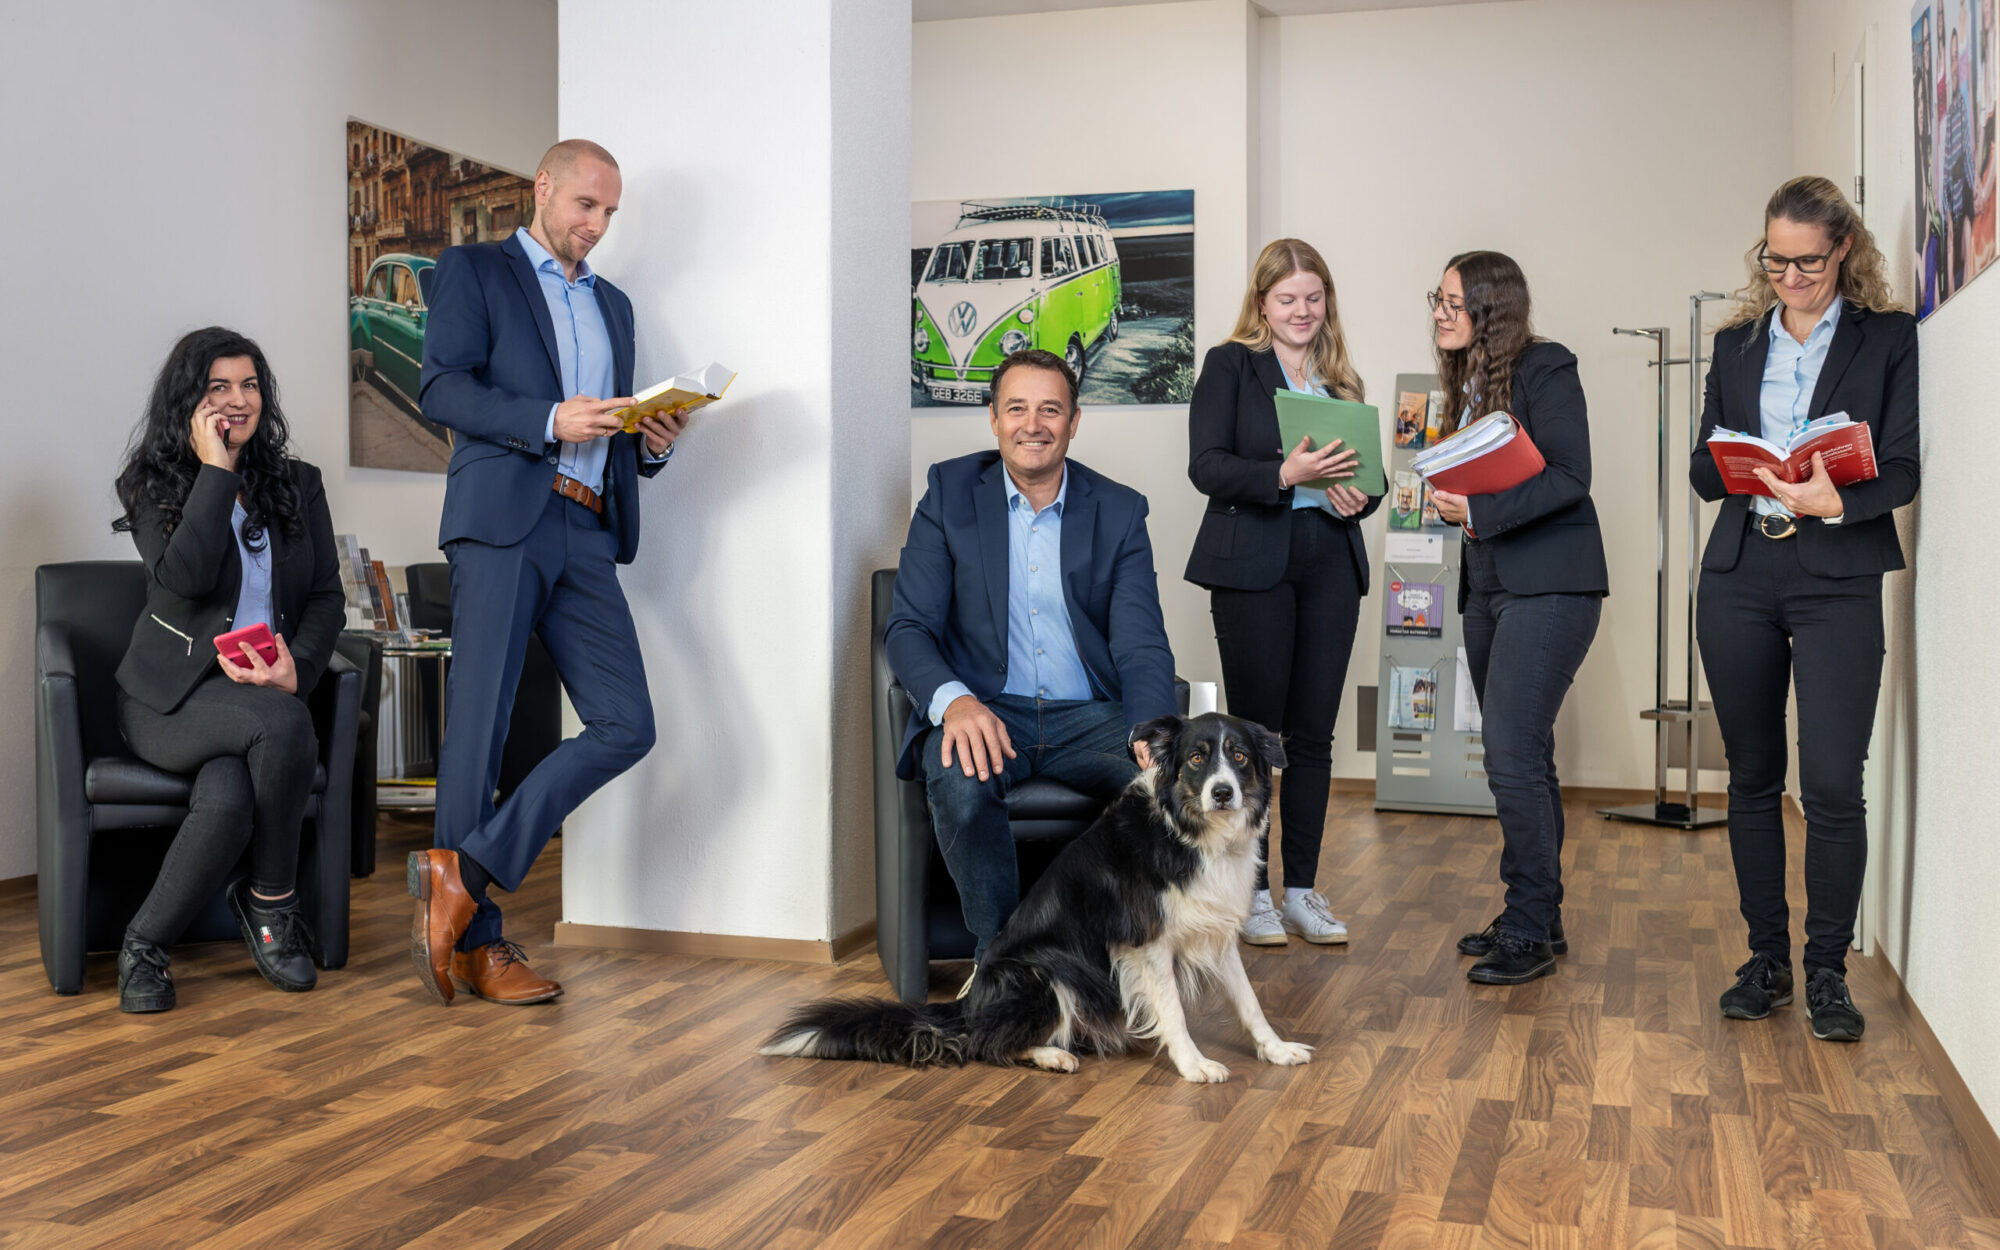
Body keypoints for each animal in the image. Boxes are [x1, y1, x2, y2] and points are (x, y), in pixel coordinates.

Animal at [759, 712, 1313, 1084]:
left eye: (1239, 757)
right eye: (1197, 758)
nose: (1223, 792)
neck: (1192, 835)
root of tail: (969, 1005)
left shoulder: (1216, 931)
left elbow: (1249, 1000)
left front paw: (1276, 1050)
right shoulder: (1145, 944)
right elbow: (1173, 1009)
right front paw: (1195, 1064)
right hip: (1043, 971)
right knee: (986, 1044)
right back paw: (1050, 1054)